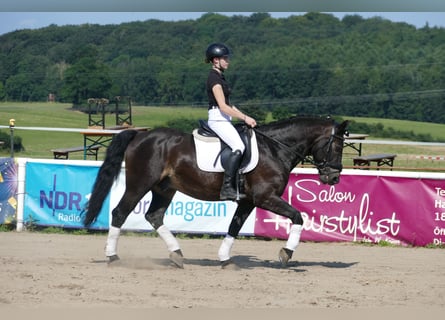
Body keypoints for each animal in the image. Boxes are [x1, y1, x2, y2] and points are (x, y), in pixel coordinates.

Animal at [82, 116, 346, 268]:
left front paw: (225, 259)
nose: (333, 178)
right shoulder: (265, 197)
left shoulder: (248, 201)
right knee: (119, 213)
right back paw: (113, 257)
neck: (274, 148)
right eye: (336, 146)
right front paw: (286, 254)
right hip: (139, 184)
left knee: (154, 216)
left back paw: (177, 255)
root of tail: (140, 134)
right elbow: (298, 217)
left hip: (165, 189)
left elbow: (234, 227)